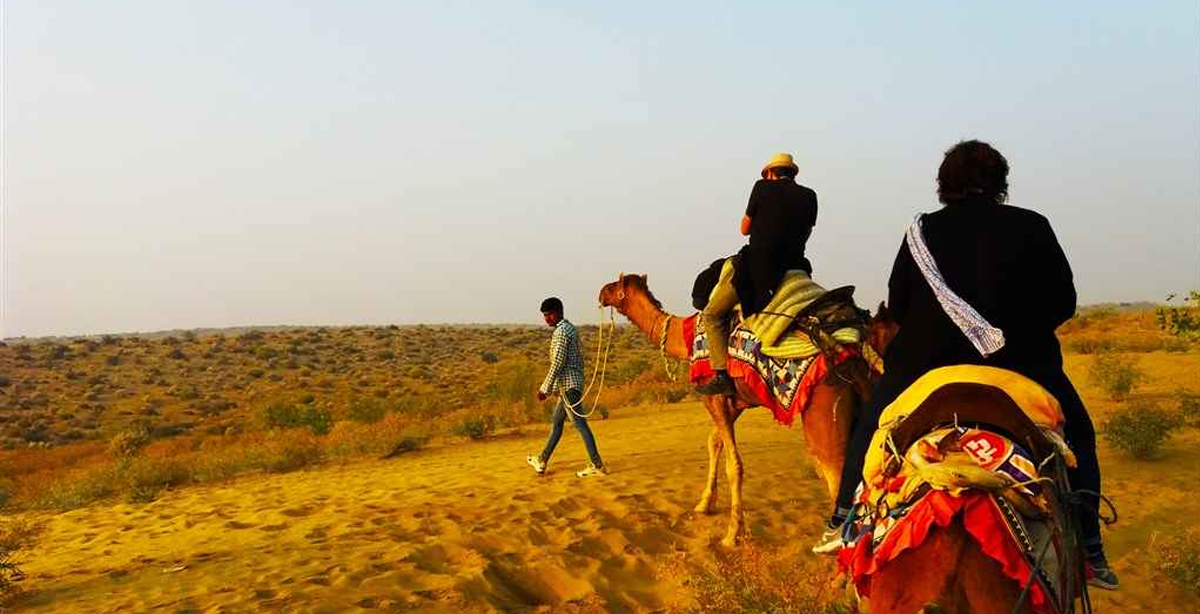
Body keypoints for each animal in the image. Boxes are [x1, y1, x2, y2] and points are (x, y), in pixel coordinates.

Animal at [595, 273, 888, 546]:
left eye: (613, 285)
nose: (600, 293)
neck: (685, 337)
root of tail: (852, 362)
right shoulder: (736, 401)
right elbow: (713, 442)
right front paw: (705, 504)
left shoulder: (714, 396)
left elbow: (734, 465)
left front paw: (732, 534)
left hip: (824, 413)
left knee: (835, 475)